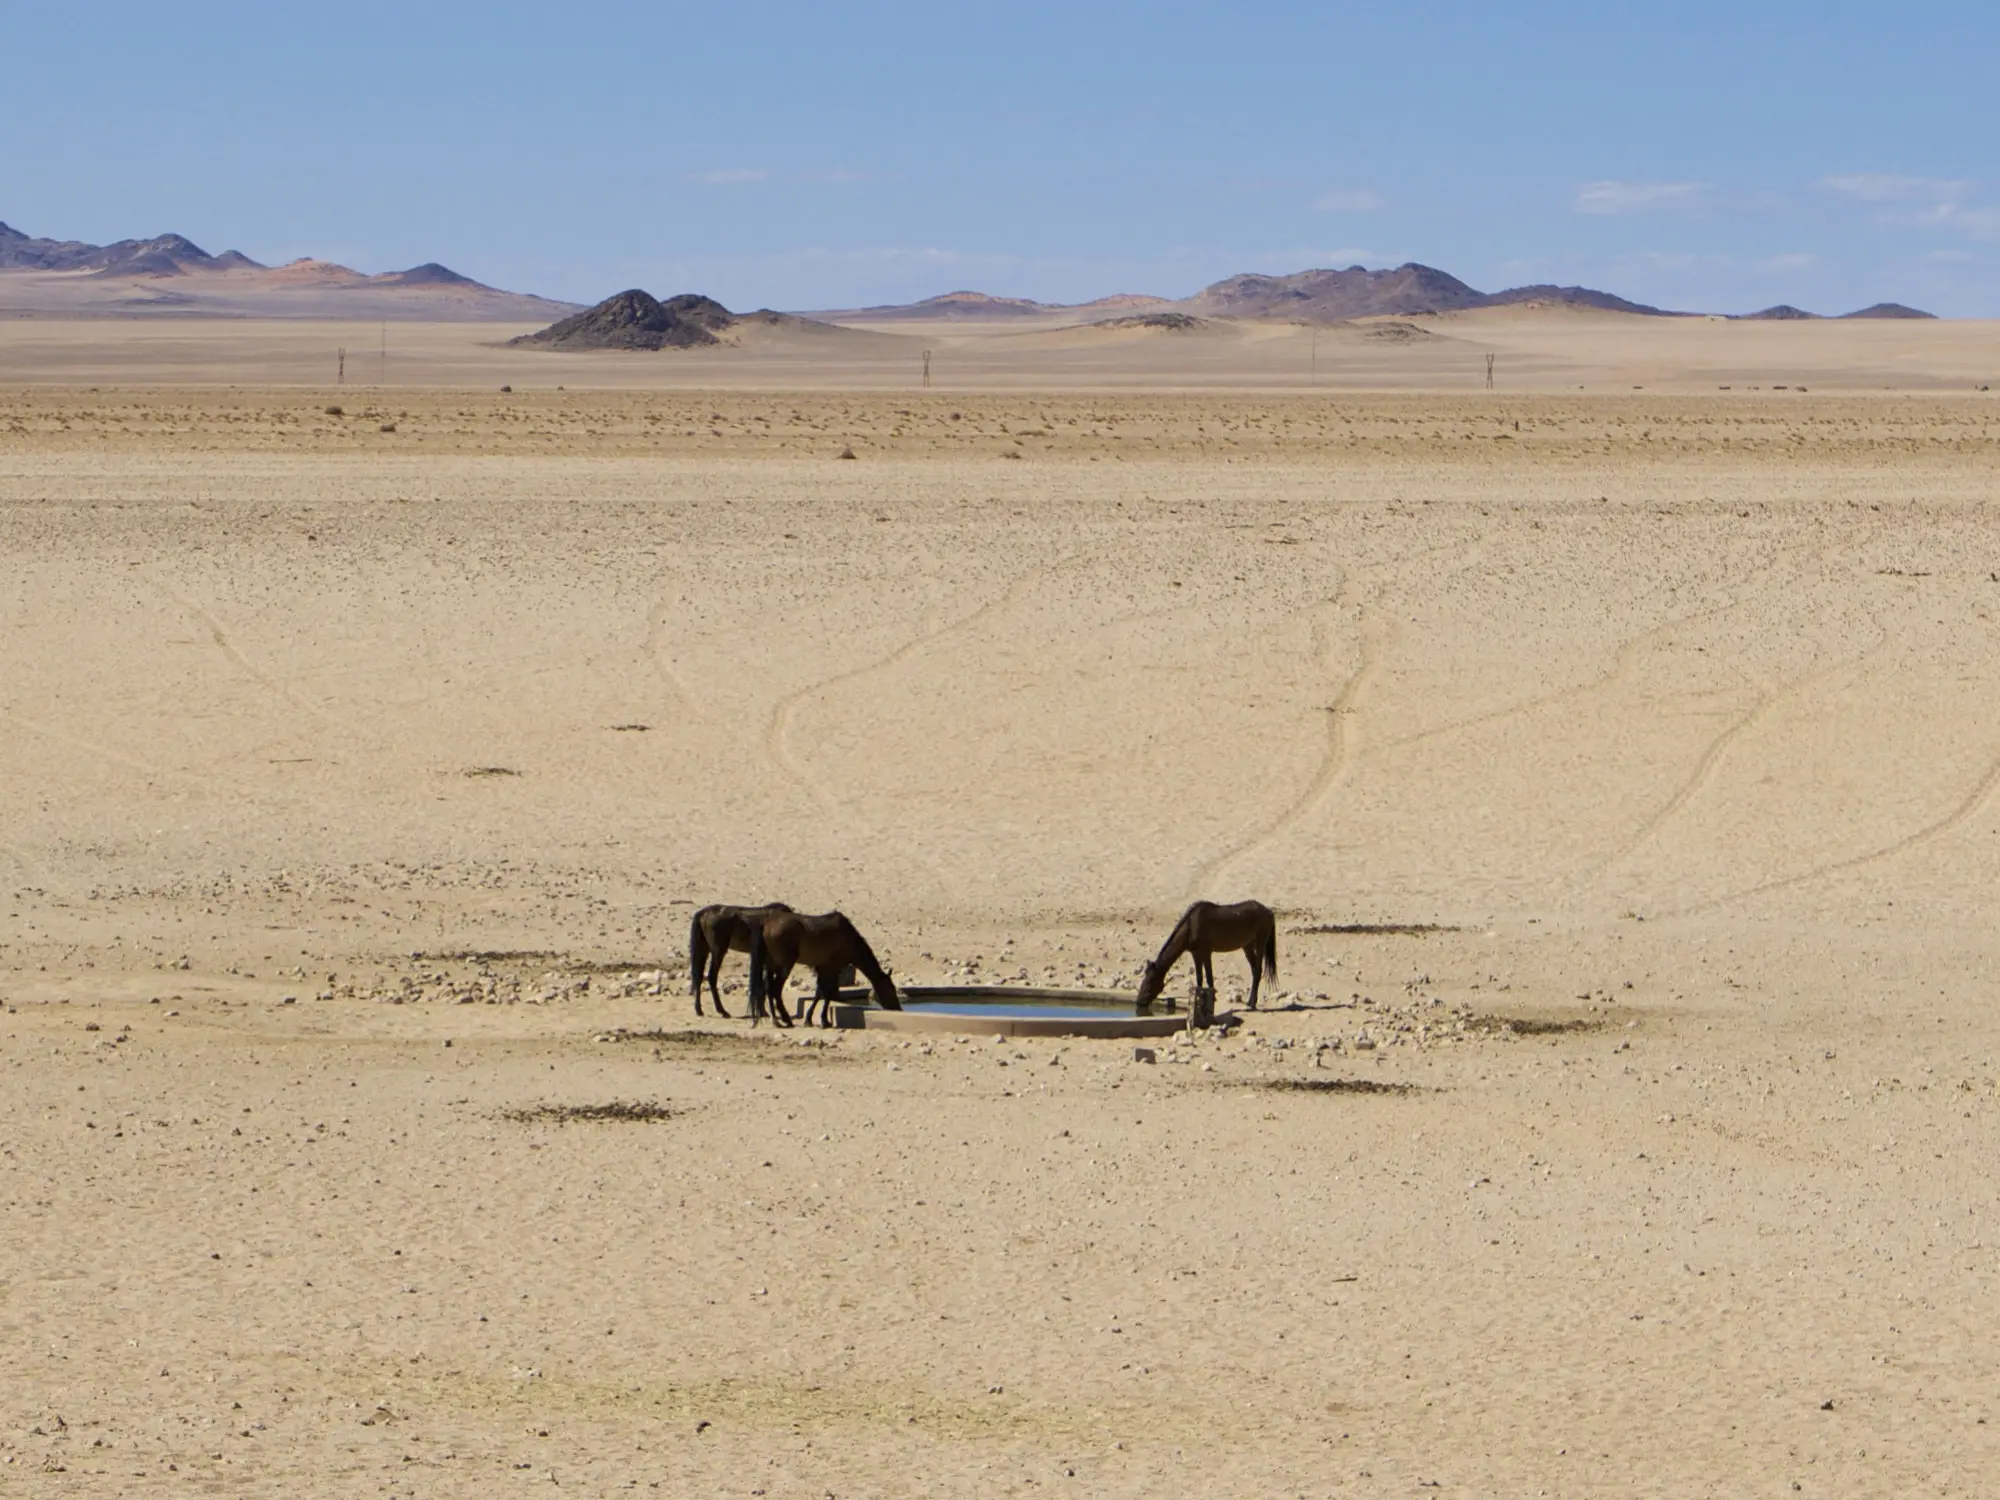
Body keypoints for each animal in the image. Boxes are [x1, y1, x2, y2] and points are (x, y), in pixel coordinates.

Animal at [748, 912, 904, 1032]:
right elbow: (827, 993)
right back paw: (785, 1019)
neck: (849, 937)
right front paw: (824, 1021)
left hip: (771, 965)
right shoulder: (832, 968)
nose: (897, 1008)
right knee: (775, 990)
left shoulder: (822, 967)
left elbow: (819, 992)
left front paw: (810, 1019)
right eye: (890, 988)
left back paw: (776, 1020)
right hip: (785, 965)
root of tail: (766, 924)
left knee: (769, 989)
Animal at [1136, 904, 1272, 1024]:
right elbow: (1199, 978)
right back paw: (1250, 1002)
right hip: (1247, 946)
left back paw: (1252, 1004)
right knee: (1254, 970)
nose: (1139, 1002)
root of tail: (1267, 911)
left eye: (1150, 981)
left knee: (1258, 971)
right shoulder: (1196, 954)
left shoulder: (1206, 952)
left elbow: (1209, 977)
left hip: (1260, 944)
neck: (1191, 926)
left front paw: (1212, 1001)